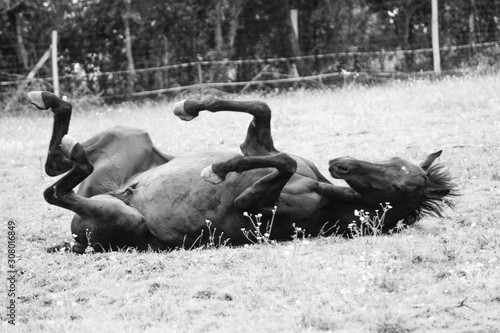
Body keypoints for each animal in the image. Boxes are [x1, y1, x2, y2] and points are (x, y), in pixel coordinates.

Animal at [27, 91, 458, 252]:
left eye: (400, 187)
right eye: (392, 159)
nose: (341, 163)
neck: (324, 192)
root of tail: (74, 242)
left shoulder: (250, 205)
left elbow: (279, 163)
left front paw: (217, 169)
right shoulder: (257, 148)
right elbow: (262, 112)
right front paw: (191, 105)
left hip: (123, 219)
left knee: (56, 189)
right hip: (130, 137)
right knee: (56, 164)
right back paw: (49, 101)